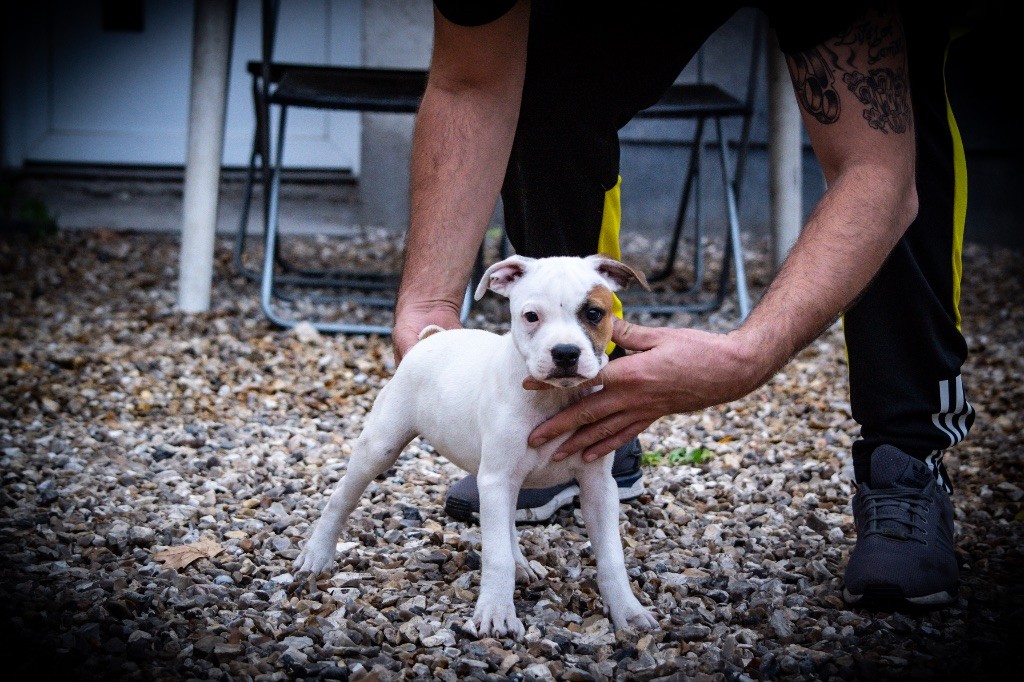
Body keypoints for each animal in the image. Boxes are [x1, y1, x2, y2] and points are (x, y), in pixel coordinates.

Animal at [293, 254, 658, 637]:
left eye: (594, 313)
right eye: (531, 316)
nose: (565, 353)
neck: (554, 398)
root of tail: (433, 338)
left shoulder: (598, 486)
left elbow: (612, 556)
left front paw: (628, 610)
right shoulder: (496, 478)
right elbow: (496, 556)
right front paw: (496, 611)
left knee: (505, 521)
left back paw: (520, 563)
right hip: (380, 446)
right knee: (341, 498)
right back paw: (316, 554)